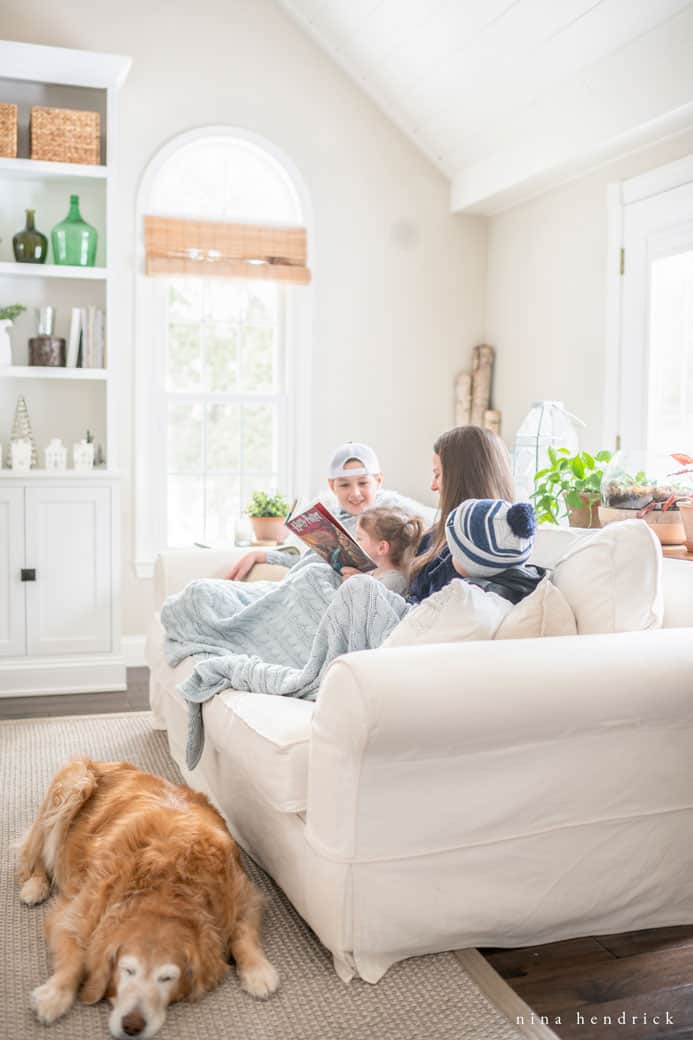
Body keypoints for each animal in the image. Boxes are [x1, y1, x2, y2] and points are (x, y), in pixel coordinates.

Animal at [15, 757, 278, 1040]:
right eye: (127, 970)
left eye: (167, 978)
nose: (132, 1025)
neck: (167, 889)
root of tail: (103, 762)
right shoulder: (76, 913)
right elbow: (74, 959)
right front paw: (54, 995)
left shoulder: (243, 893)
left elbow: (244, 935)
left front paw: (258, 971)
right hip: (72, 788)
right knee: (36, 854)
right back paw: (35, 886)